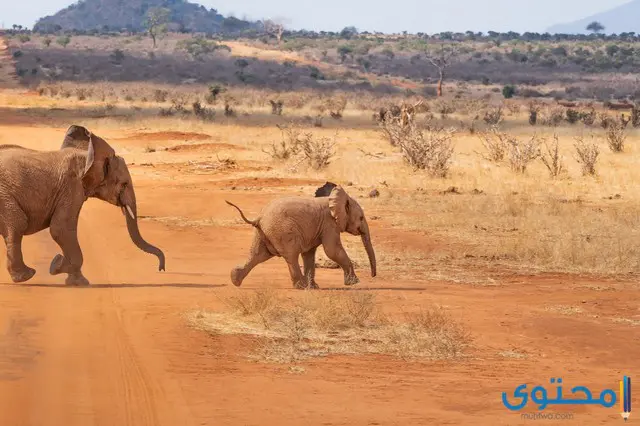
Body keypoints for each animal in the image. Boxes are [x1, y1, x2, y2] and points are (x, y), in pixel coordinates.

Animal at [0, 125, 165, 284]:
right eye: (124, 184)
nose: (161, 269)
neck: (87, 156)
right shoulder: (71, 186)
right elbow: (61, 228)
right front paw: (68, 274)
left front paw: (60, 268)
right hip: (4, 196)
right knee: (18, 224)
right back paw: (26, 276)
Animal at [225, 183, 376, 290]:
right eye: (361, 218)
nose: (373, 276)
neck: (335, 199)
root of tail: (259, 218)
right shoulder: (329, 224)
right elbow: (332, 250)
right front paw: (354, 283)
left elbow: (309, 254)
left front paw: (314, 287)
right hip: (282, 232)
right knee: (291, 256)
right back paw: (301, 287)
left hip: (263, 233)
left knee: (258, 255)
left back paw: (235, 280)